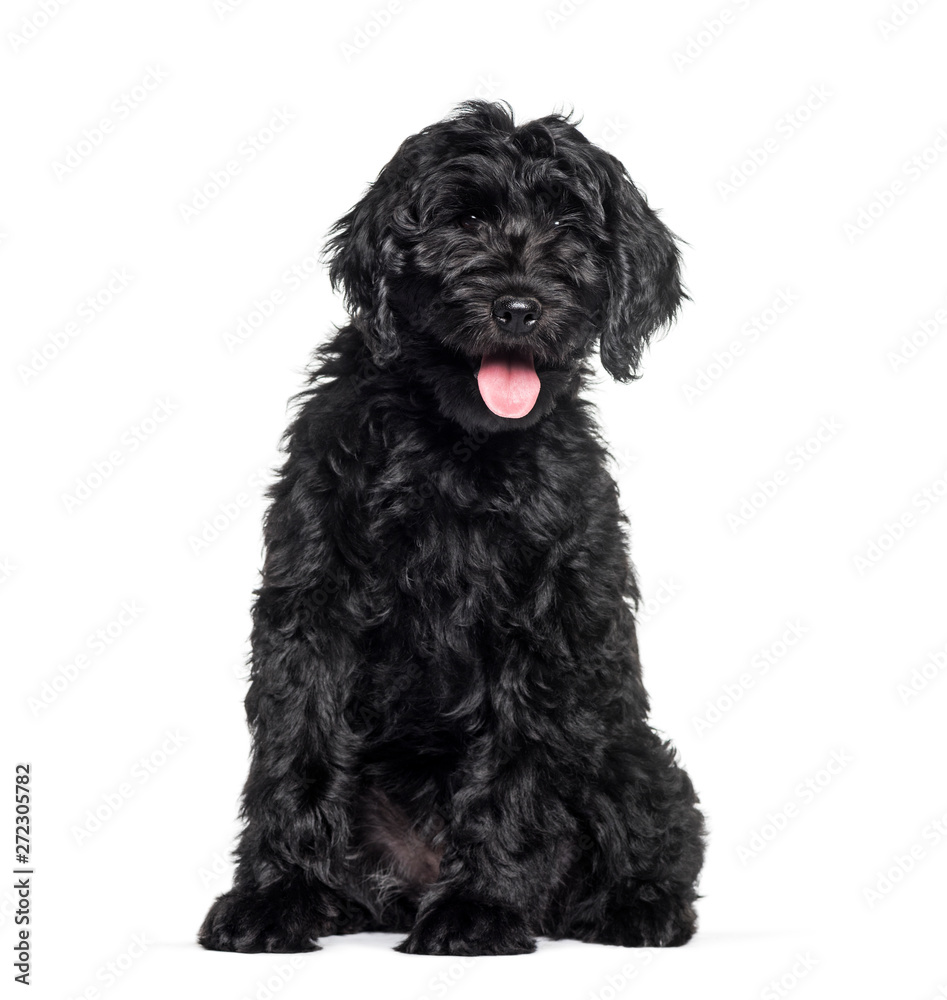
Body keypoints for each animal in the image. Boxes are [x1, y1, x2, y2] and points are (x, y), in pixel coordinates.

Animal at [200, 99, 704, 952]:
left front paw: (480, 908)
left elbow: (508, 767)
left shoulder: (537, 628)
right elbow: (297, 746)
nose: (518, 306)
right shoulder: (312, 607)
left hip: (629, 751)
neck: (455, 444)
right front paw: (278, 893)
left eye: (568, 223)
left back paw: (633, 906)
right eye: (464, 220)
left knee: (657, 837)